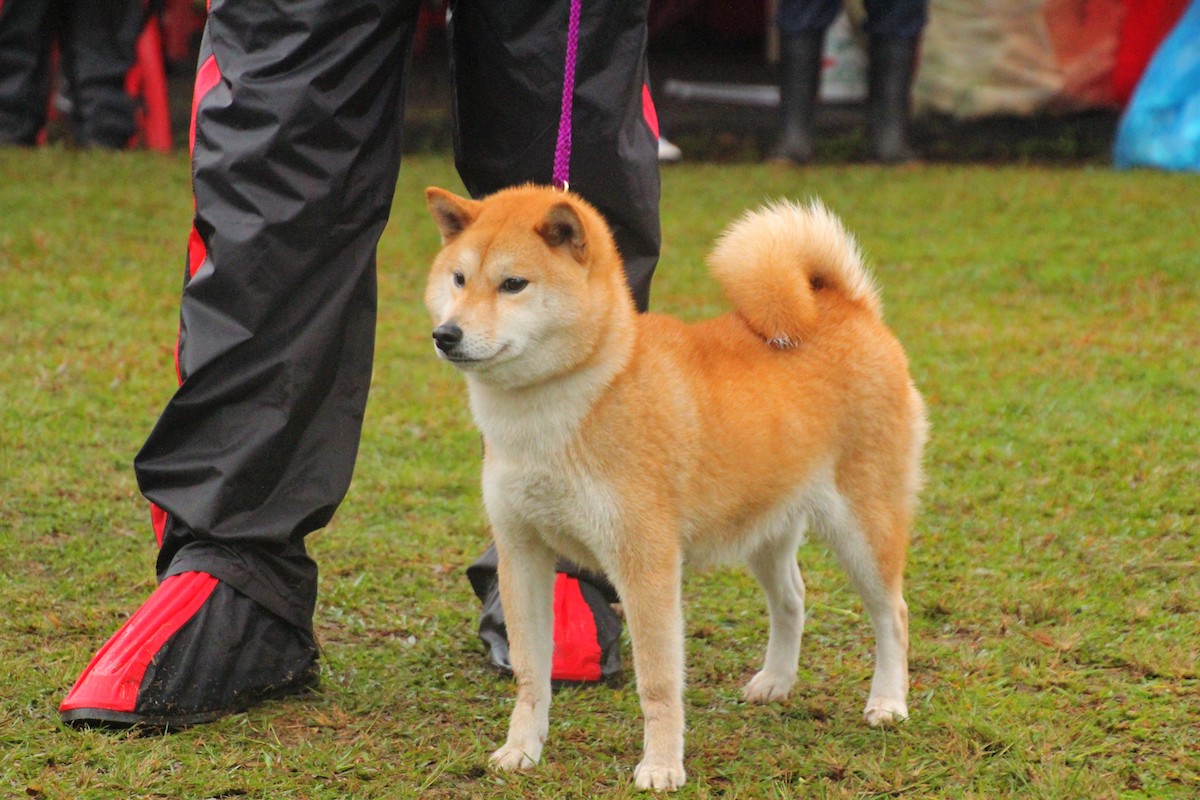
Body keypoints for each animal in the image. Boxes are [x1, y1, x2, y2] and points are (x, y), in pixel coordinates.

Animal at [422, 184, 926, 791]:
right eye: (458, 278)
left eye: (513, 283)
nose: (446, 335)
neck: (569, 401)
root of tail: (847, 306)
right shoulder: (521, 556)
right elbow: (530, 674)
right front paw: (521, 750)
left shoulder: (646, 565)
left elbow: (659, 682)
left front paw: (661, 765)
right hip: (764, 529)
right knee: (792, 599)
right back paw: (776, 681)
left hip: (863, 529)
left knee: (893, 614)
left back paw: (888, 702)